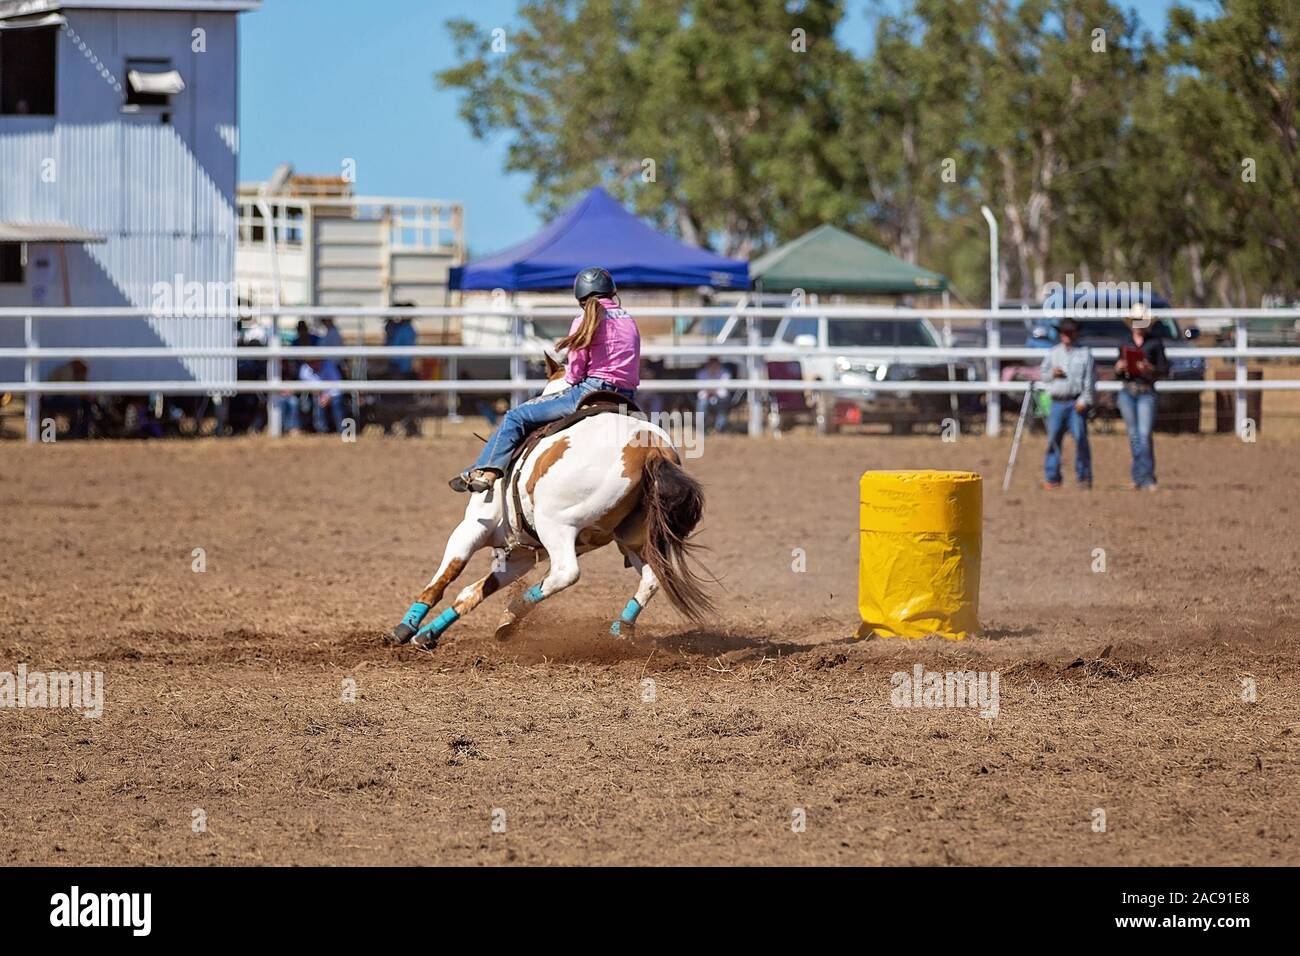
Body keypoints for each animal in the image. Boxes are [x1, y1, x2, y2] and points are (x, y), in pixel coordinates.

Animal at [387, 358, 712, 650]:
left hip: (557, 525)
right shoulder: (522, 554)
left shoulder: (473, 527)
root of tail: (650, 449)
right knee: (652, 579)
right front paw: (427, 633)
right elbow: (472, 592)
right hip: (637, 539)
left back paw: (513, 612)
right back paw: (619, 629)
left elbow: (445, 577)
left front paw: (406, 627)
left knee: (565, 574)